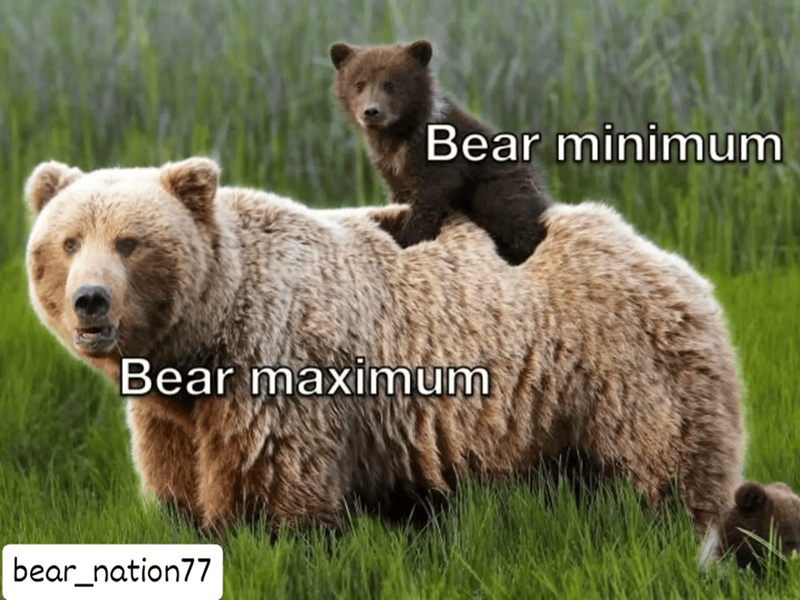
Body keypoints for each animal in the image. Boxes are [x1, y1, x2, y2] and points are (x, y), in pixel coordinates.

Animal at [24, 156, 743, 538]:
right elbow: (180, 489)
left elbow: (278, 496)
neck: (207, 336)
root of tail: (670, 260)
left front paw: (270, 538)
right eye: (68, 240)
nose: (92, 300)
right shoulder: (174, 414)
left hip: (624, 376)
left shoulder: (278, 375)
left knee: (659, 481)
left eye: (130, 242)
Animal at [330, 39, 550, 266]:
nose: (372, 111)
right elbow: (400, 195)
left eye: (391, 84)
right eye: (359, 84)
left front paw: (408, 240)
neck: (398, 138)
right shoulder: (390, 167)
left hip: (497, 185)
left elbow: (427, 199)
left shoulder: (438, 160)